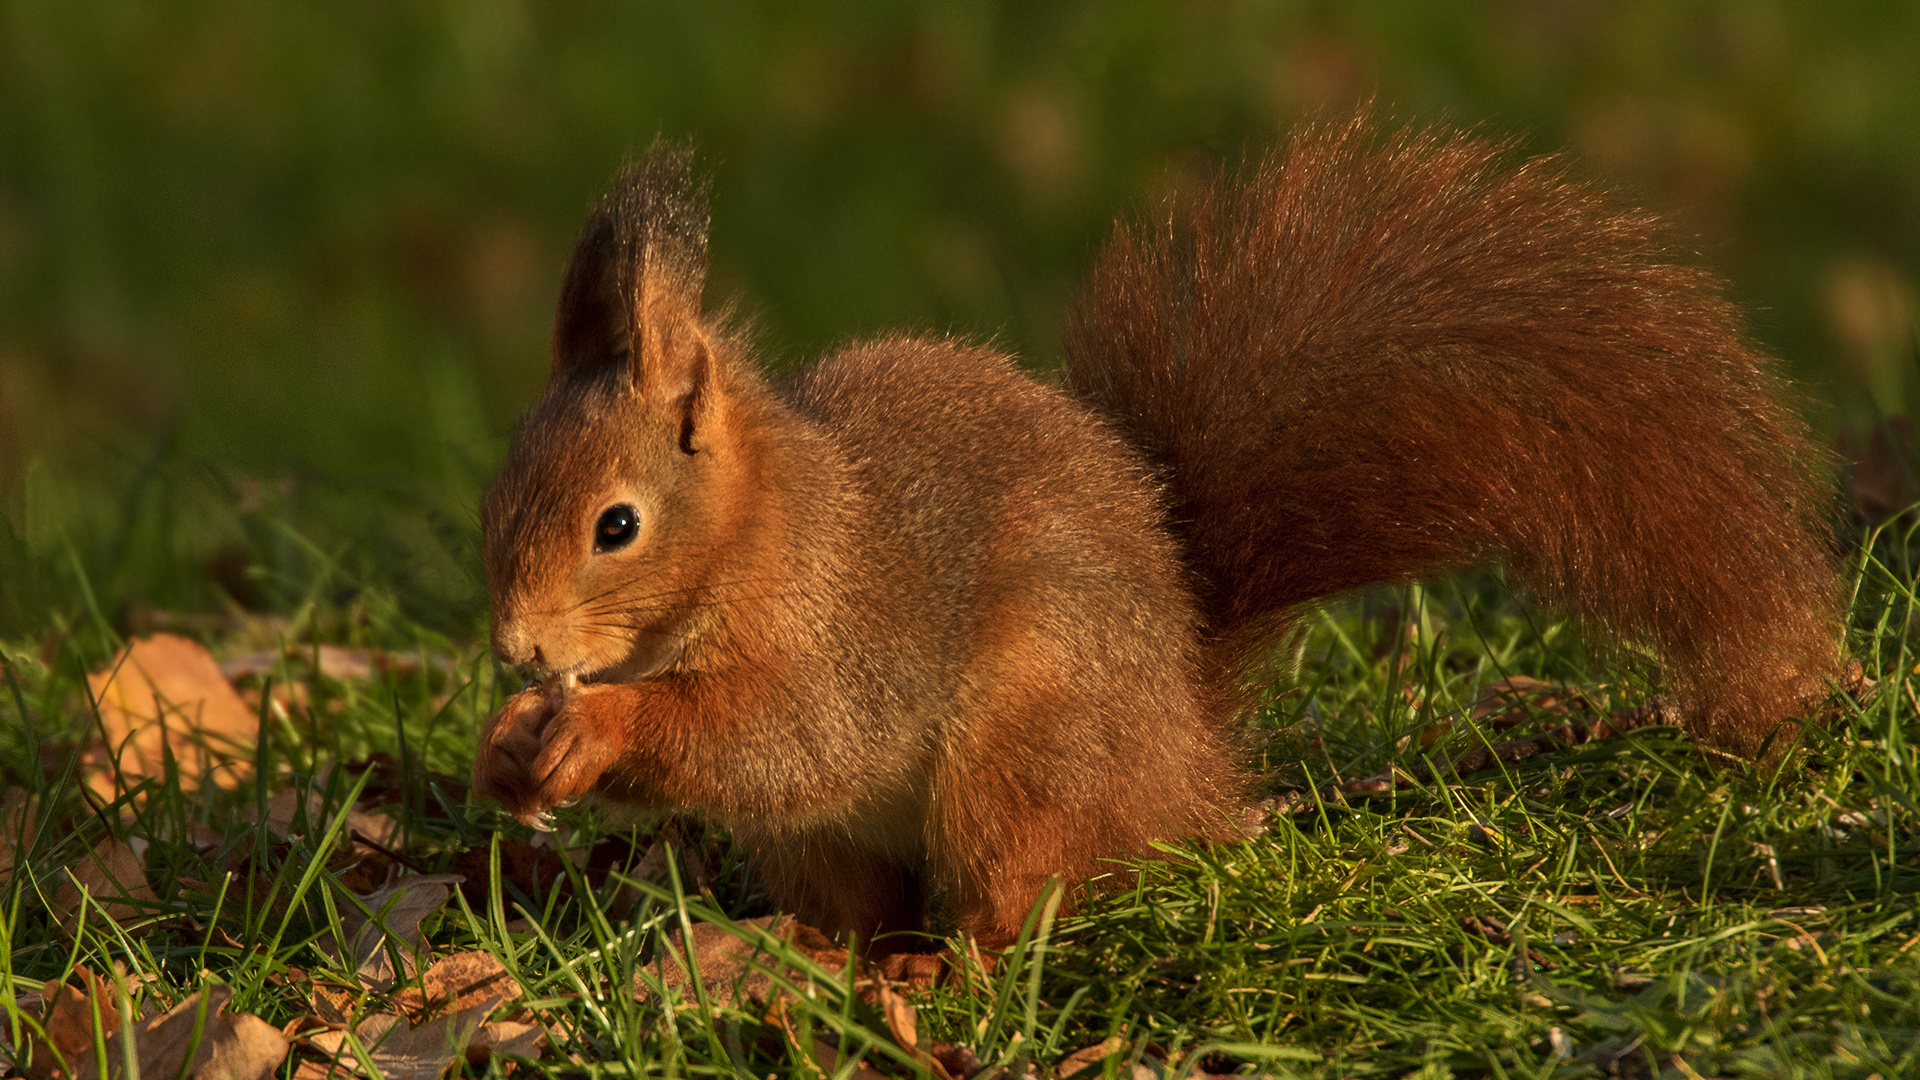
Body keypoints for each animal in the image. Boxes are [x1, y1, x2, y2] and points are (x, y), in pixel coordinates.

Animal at [468, 113, 1843, 945]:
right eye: (493, 491)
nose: (520, 650)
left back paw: (941, 968)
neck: (764, 534)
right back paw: (816, 954)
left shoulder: (850, 633)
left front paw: (594, 728)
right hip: (837, 843)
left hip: (1025, 747)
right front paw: (504, 746)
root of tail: (1189, 761)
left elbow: (787, 736)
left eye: (617, 525)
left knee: (1029, 893)